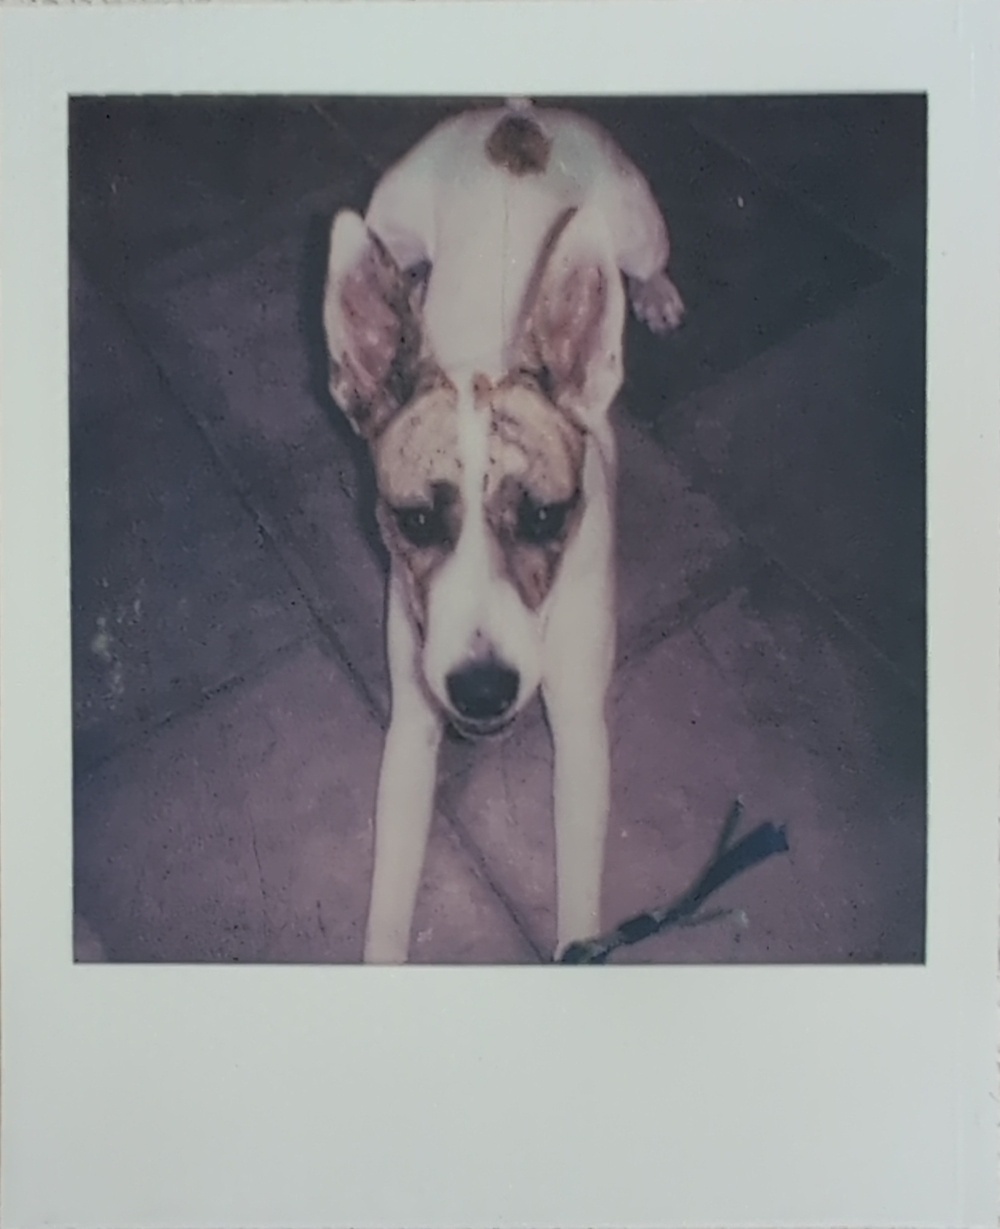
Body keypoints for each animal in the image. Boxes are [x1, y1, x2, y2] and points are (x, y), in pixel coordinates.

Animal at [324, 98, 683, 958]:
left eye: (546, 514)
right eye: (416, 519)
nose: (483, 690)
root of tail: (518, 115)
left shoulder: (582, 727)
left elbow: (581, 907)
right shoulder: (412, 725)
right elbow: (387, 902)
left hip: (638, 224)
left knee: (649, 259)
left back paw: (655, 294)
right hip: (389, 215)